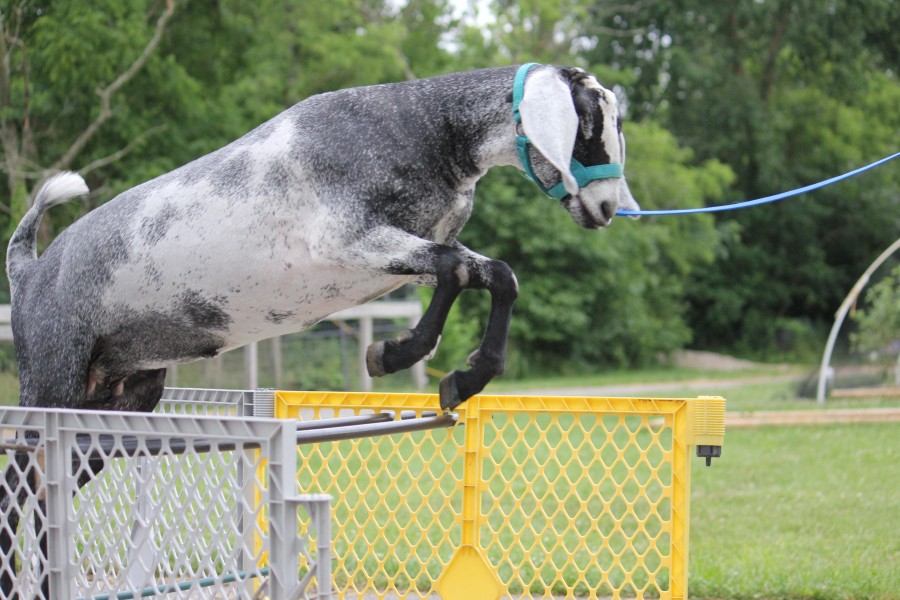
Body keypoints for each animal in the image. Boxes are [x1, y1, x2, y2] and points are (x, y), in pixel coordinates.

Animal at [3, 63, 644, 596]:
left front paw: (463, 379)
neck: (420, 128)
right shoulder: (348, 241)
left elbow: (495, 276)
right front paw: (394, 352)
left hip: (115, 406)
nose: (607, 209)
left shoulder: (402, 253)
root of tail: (28, 272)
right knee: (16, 490)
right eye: (589, 127)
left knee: (42, 497)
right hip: (53, 386)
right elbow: (452, 270)